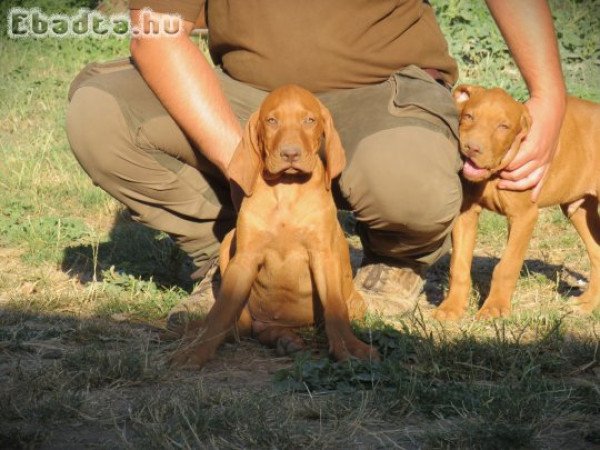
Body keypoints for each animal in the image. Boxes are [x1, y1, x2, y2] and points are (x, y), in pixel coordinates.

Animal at [171, 84, 380, 370]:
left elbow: (336, 313)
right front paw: (198, 351)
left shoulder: (323, 256)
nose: (290, 154)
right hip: (229, 246)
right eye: (271, 121)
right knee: (247, 326)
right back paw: (281, 338)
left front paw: (348, 349)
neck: (286, 189)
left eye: (309, 120)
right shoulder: (244, 259)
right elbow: (220, 313)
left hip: (354, 302)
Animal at [434, 85, 600, 320]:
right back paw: (587, 304)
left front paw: (495, 307)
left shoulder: (524, 217)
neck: (493, 175)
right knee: (597, 253)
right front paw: (451, 307)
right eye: (468, 116)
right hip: (578, 210)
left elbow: (506, 267)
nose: (472, 148)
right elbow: (458, 265)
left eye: (503, 126)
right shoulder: (465, 214)